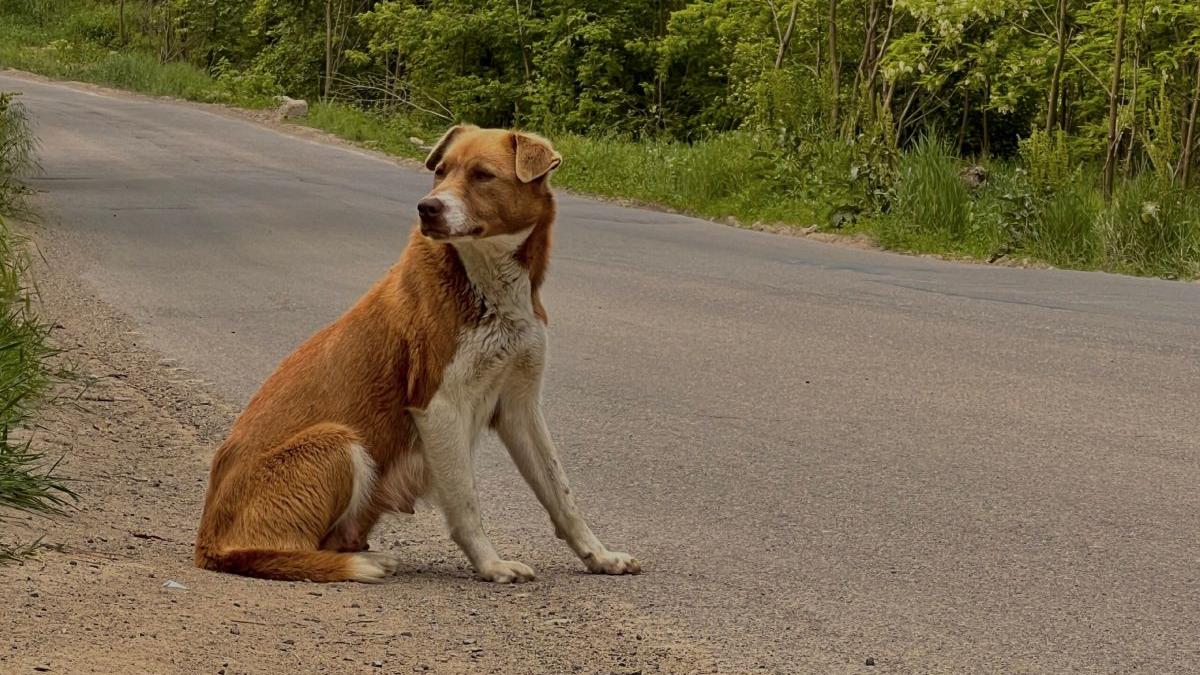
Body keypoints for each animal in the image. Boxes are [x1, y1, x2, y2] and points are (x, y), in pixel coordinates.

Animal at [194, 123, 648, 581]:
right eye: (440, 172)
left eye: (482, 175)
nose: (427, 208)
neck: (487, 286)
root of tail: (207, 544)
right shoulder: (439, 405)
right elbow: (466, 501)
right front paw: (491, 565)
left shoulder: (520, 404)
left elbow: (561, 492)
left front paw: (600, 555)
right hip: (338, 443)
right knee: (280, 552)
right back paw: (365, 562)